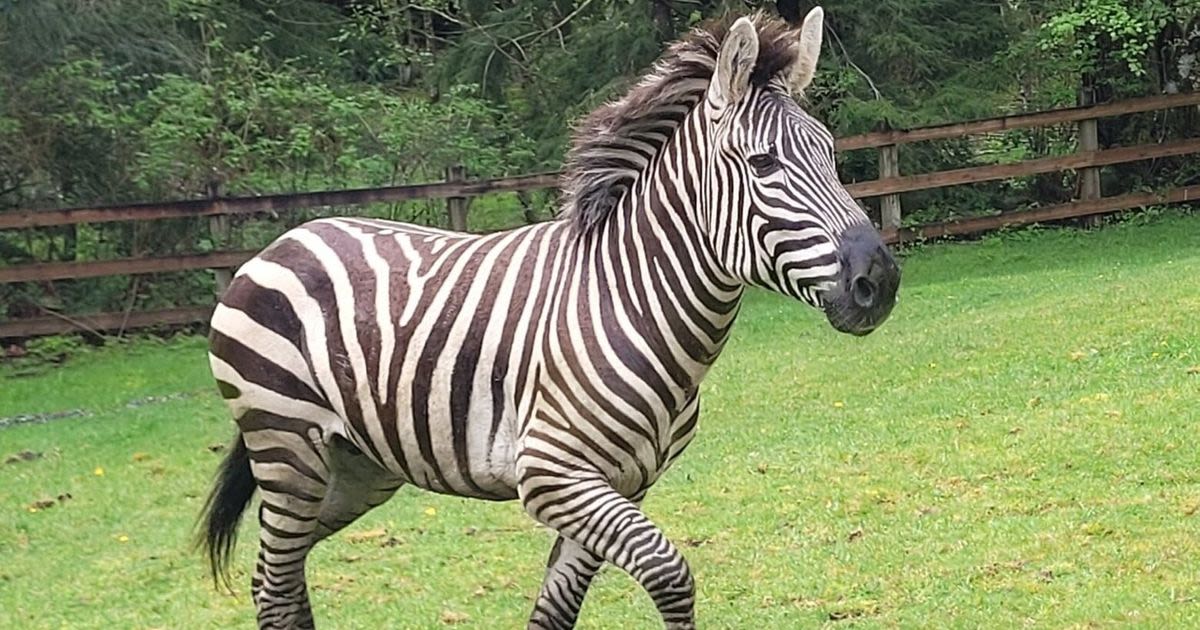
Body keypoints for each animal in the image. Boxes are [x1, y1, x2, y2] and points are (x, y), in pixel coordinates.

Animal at [199, 9, 902, 628]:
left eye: (832, 153)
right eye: (763, 165)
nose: (882, 281)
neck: (633, 303)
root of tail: (283, 240)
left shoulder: (622, 483)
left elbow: (555, 610)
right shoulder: (551, 473)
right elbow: (670, 573)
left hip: (354, 468)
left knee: (279, 574)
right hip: (287, 446)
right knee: (275, 583)